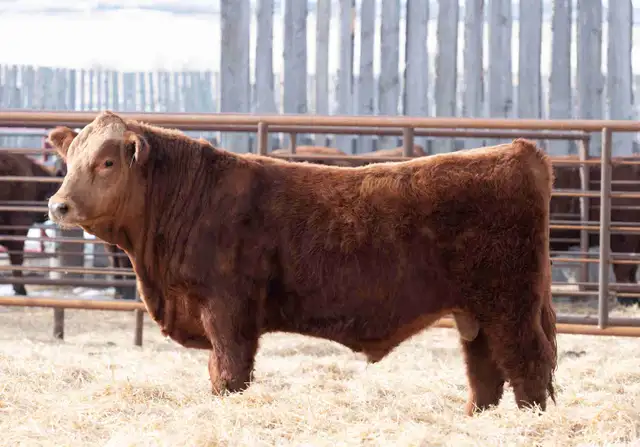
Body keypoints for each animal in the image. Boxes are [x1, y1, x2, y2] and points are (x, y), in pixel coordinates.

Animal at [45, 110, 557, 417]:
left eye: (108, 162)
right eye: (69, 159)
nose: (58, 205)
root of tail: (519, 152)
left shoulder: (227, 311)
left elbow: (227, 373)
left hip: (511, 306)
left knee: (529, 367)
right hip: (477, 315)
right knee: (486, 373)